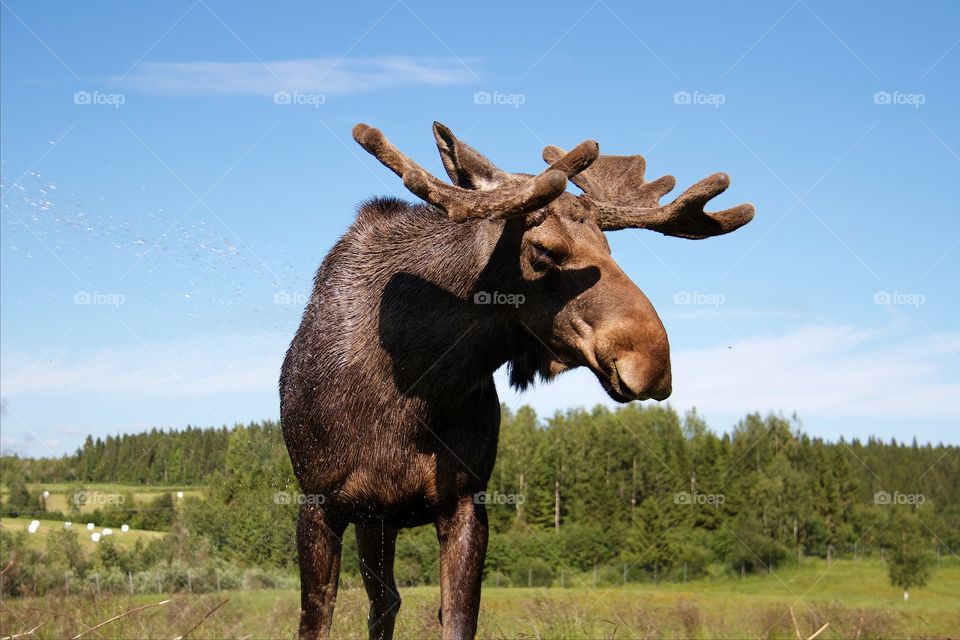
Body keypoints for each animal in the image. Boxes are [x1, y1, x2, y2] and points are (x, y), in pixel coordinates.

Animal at [279, 121, 754, 639]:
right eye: (545, 250)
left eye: (609, 248)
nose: (651, 361)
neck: (413, 390)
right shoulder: (319, 502)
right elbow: (315, 622)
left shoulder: (466, 501)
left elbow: (457, 620)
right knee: (382, 603)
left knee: (386, 602)